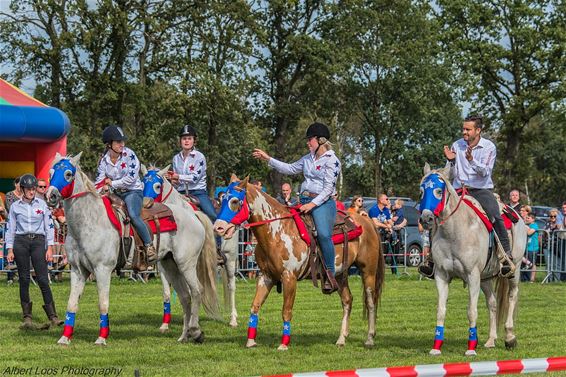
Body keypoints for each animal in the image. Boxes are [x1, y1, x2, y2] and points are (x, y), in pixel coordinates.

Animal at [46, 152, 221, 344]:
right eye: (51, 172)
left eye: (68, 174)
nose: (50, 196)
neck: (89, 222)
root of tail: (194, 215)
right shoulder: (78, 270)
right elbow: (72, 303)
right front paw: (64, 338)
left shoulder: (102, 269)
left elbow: (103, 303)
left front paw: (102, 338)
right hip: (170, 265)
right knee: (185, 296)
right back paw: (184, 336)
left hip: (186, 264)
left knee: (196, 292)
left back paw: (195, 331)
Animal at [142, 166, 242, 328]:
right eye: (143, 183)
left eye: (157, 186)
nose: (146, 204)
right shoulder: (163, 264)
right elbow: (167, 292)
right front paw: (165, 324)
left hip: (231, 258)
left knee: (231, 286)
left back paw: (233, 319)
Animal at [213, 175, 386, 348]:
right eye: (221, 200)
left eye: (235, 201)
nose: (218, 228)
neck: (277, 231)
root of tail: (367, 221)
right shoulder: (265, 277)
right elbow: (255, 307)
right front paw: (250, 341)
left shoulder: (289, 277)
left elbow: (286, 311)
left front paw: (283, 344)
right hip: (339, 275)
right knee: (347, 300)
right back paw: (341, 338)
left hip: (368, 271)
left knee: (371, 301)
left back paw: (370, 338)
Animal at [420, 163, 532, 354]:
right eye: (421, 191)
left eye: (438, 191)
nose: (425, 219)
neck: (455, 232)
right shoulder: (442, 275)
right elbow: (441, 310)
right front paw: (436, 347)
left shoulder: (472, 276)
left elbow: (471, 311)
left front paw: (471, 347)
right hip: (485, 278)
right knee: (492, 303)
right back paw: (491, 340)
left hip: (514, 270)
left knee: (512, 296)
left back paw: (510, 337)